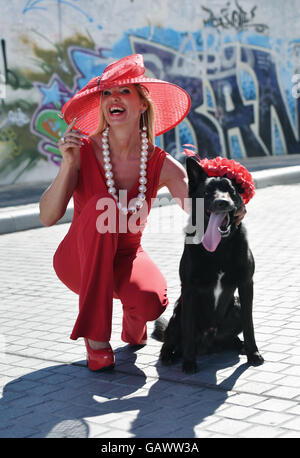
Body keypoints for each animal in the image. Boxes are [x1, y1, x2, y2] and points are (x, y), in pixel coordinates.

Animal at [156, 156, 264, 374]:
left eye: (231, 191)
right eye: (207, 192)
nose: (222, 202)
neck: (219, 247)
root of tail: (208, 345)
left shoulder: (246, 285)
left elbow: (249, 324)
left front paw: (253, 353)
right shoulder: (189, 289)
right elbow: (188, 329)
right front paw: (189, 362)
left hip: (236, 304)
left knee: (232, 337)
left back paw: (240, 346)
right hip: (177, 313)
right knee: (169, 341)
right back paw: (170, 355)